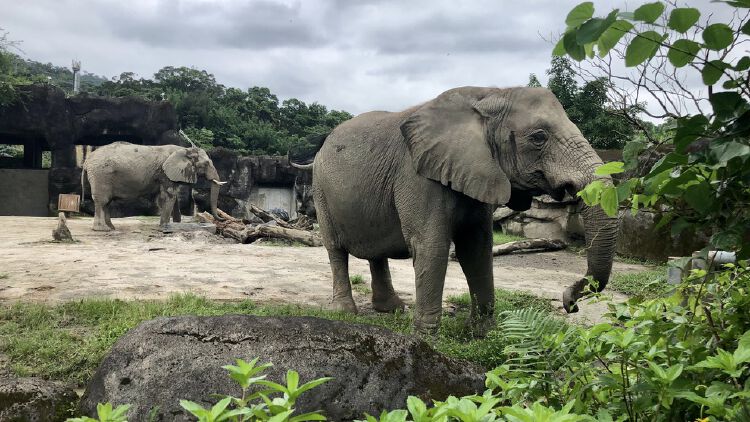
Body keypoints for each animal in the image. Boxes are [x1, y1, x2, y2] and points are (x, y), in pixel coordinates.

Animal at [81, 141, 226, 231]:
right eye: (206, 164)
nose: (222, 219)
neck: (185, 150)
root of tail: (87, 161)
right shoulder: (165, 172)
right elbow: (169, 196)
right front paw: (166, 227)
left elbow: (171, 197)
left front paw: (172, 224)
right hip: (101, 174)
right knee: (102, 201)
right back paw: (102, 229)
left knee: (107, 201)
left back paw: (111, 228)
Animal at [300, 85, 624, 334]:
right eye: (538, 137)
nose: (570, 303)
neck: (489, 95)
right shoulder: (417, 175)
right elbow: (431, 244)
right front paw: (426, 336)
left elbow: (476, 248)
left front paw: (482, 333)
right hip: (320, 187)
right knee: (335, 249)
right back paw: (346, 312)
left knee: (375, 253)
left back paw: (392, 310)